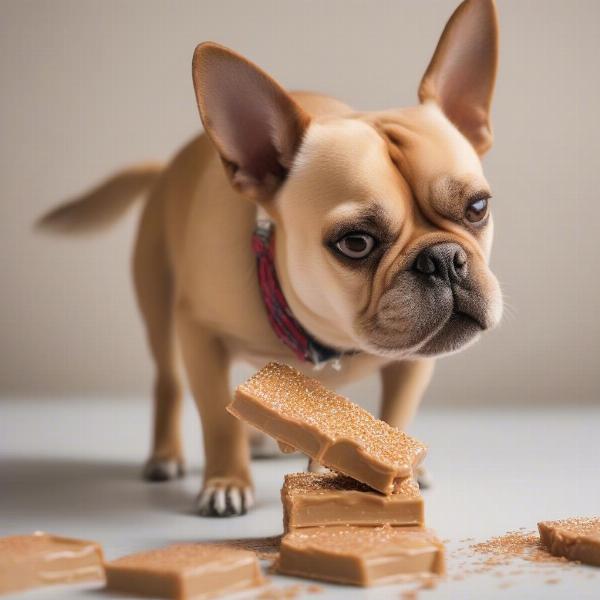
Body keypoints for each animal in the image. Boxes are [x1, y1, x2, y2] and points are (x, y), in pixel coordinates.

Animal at [38, 0, 502, 516]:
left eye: (477, 208)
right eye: (355, 243)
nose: (443, 258)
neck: (326, 335)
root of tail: (163, 172)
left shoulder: (414, 362)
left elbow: (394, 416)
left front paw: (386, 471)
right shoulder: (198, 333)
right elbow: (216, 417)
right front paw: (226, 482)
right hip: (159, 307)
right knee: (169, 382)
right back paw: (166, 455)